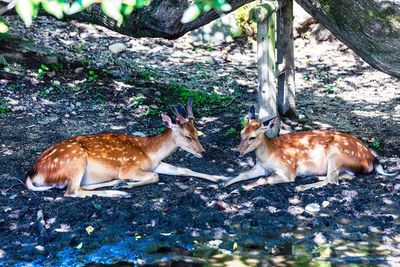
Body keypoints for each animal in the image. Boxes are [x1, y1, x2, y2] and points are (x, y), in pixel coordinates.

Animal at [25, 99, 228, 198]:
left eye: (197, 132)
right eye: (187, 136)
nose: (202, 152)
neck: (150, 152)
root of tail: (33, 173)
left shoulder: (155, 164)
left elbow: (183, 170)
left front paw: (220, 178)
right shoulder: (128, 167)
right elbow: (156, 177)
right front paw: (128, 184)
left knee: (79, 187)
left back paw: (116, 184)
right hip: (75, 160)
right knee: (72, 192)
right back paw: (120, 192)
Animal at [225, 105, 396, 192]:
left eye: (252, 137)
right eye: (241, 133)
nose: (237, 151)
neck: (268, 155)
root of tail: (372, 158)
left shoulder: (287, 170)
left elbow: (263, 179)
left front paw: (244, 187)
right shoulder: (261, 167)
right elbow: (242, 174)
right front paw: (225, 184)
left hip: (336, 151)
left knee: (332, 180)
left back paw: (301, 187)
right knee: (345, 176)